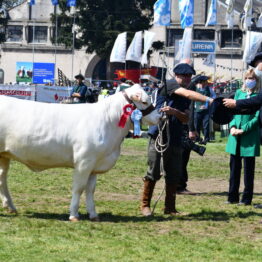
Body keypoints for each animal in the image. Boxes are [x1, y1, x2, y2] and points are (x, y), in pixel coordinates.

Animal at [0, 84, 160, 221]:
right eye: (145, 101)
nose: (160, 116)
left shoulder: (94, 165)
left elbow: (90, 190)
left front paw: (93, 214)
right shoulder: (84, 162)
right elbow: (79, 188)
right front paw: (73, 215)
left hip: (4, 155)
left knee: (2, 178)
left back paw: (10, 207)